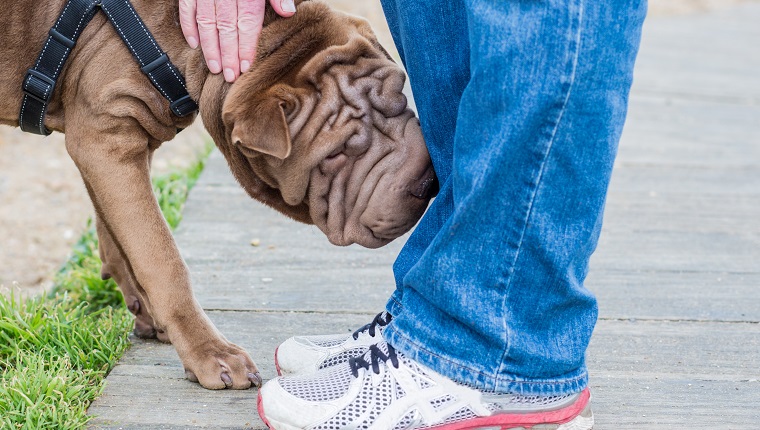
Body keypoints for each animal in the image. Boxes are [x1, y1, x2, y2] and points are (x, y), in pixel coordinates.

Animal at [0, 0, 436, 390]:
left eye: (401, 96)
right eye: (336, 153)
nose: (427, 182)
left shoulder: (111, 141)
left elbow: (119, 238)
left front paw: (148, 311)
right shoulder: (106, 134)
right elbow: (161, 258)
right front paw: (209, 353)